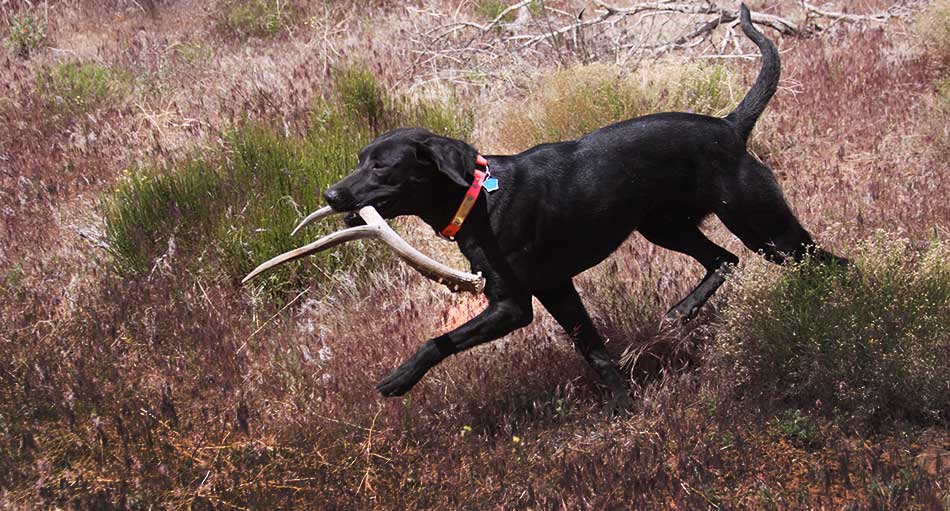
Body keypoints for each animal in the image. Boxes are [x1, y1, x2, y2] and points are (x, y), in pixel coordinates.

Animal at [322, 4, 848, 412]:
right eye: (358, 160)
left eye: (381, 167)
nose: (330, 195)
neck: (479, 198)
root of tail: (731, 126)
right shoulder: (555, 287)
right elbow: (594, 351)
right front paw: (624, 406)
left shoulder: (514, 305)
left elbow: (439, 339)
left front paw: (401, 377)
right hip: (666, 227)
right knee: (724, 259)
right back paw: (684, 309)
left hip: (765, 228)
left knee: (829, 262)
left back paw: (845, 310)